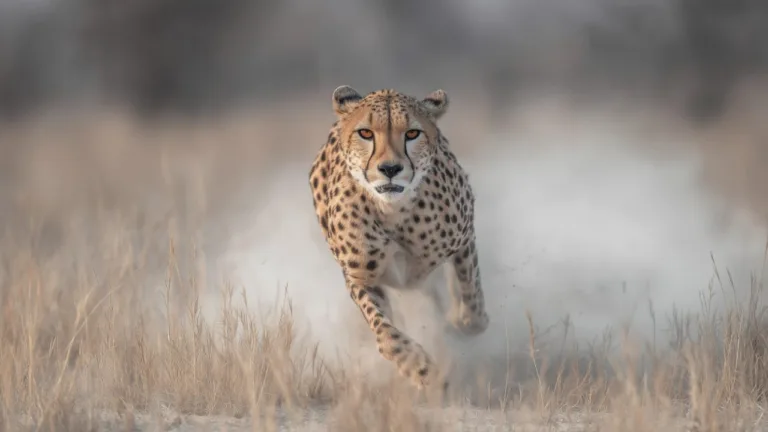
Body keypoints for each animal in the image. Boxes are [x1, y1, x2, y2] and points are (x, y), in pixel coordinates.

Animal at [308, 85, 490, 389]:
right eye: (366, 133)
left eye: (412, 133)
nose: (390, 169)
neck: (392, 210)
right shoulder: (361, 277)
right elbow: (385, 333)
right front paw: (417, 366)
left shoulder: (463, 236)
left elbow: (471, 291)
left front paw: (465, 321)